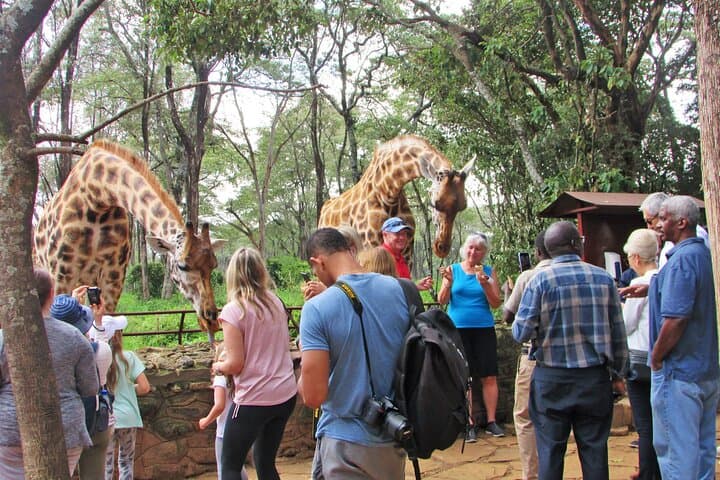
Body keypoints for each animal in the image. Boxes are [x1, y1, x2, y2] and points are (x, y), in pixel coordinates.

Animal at [34, 140, 226, 341]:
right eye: (182, 266)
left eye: (213, 266)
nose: (211, 320)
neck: (98, 196)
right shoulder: (62, 274)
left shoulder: (114, 276)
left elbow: (112, 333)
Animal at [318, 135, 475, 263]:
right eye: (434, 203)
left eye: (462, 206)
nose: (442, 248)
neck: (387, 193)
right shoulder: (370, 246)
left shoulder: (407, 251)